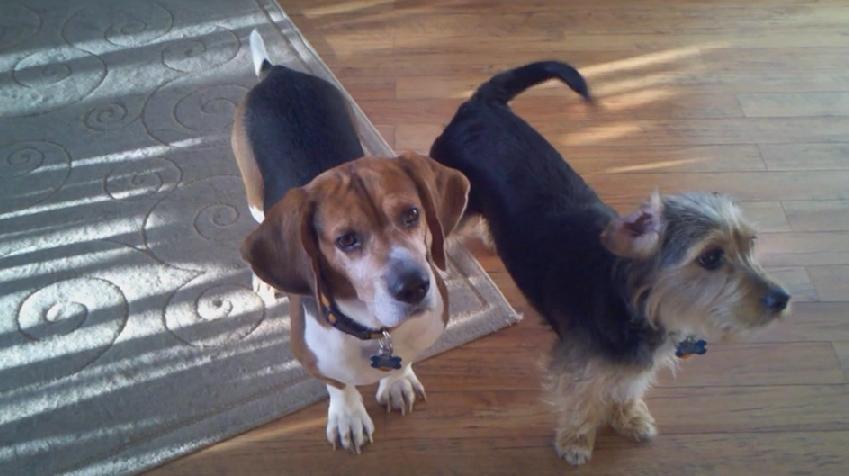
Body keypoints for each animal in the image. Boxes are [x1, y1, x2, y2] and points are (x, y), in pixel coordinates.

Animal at [232, 30, 468, 454]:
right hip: (254, 196)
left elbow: (404, 362)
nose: (414, 287)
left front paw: (398, 381)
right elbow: (339, 384)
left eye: (412, 214)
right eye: (346, 240)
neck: (377, 331)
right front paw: (348, 416)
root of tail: (278, 73)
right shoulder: (313, 358)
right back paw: (262, 279)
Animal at [428, 62, 792, 464]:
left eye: (751, 244)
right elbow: (581, 400)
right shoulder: (578, 366)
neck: (634, 299)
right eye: (710, 257)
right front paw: (576, 441)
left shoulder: (634, 363)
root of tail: (482, 102)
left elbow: (627, 388)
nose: (782, 299)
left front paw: (629, 418)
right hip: (455, 197)